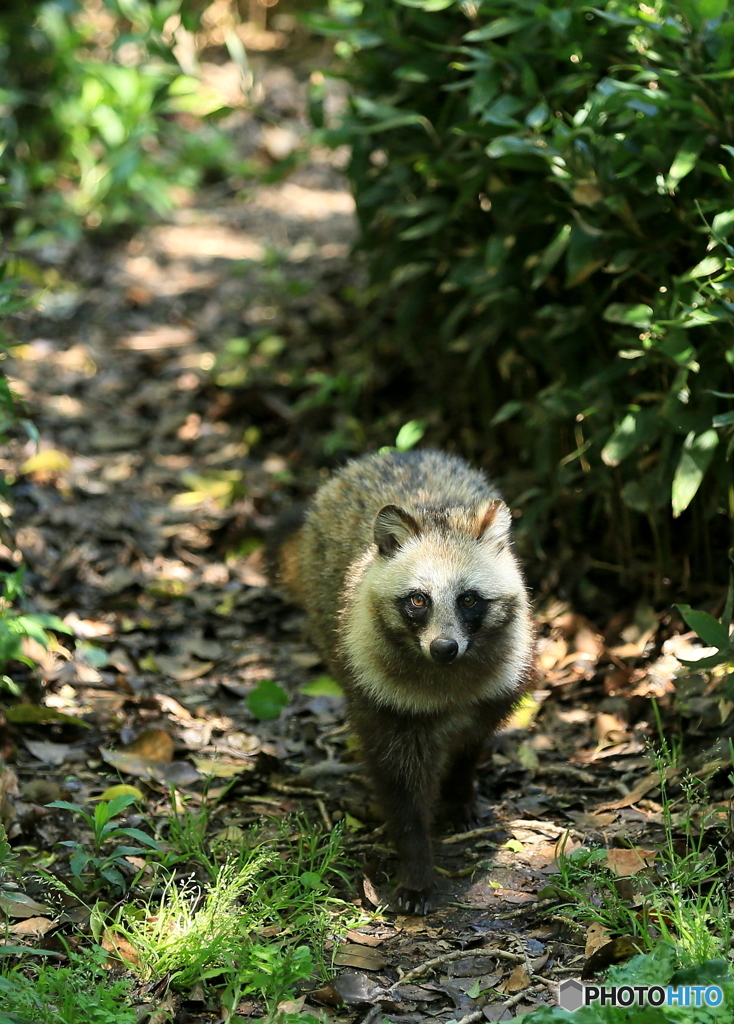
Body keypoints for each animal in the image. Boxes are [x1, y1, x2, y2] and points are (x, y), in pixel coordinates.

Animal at [276, 452, 532, 917]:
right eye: (418, 600)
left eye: (469, 599)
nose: (444, 648)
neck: (446, 678)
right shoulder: (381, 699)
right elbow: (401, 789)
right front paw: (415, 864)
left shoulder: (494, 691)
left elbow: (470, 746)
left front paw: (460, 790)